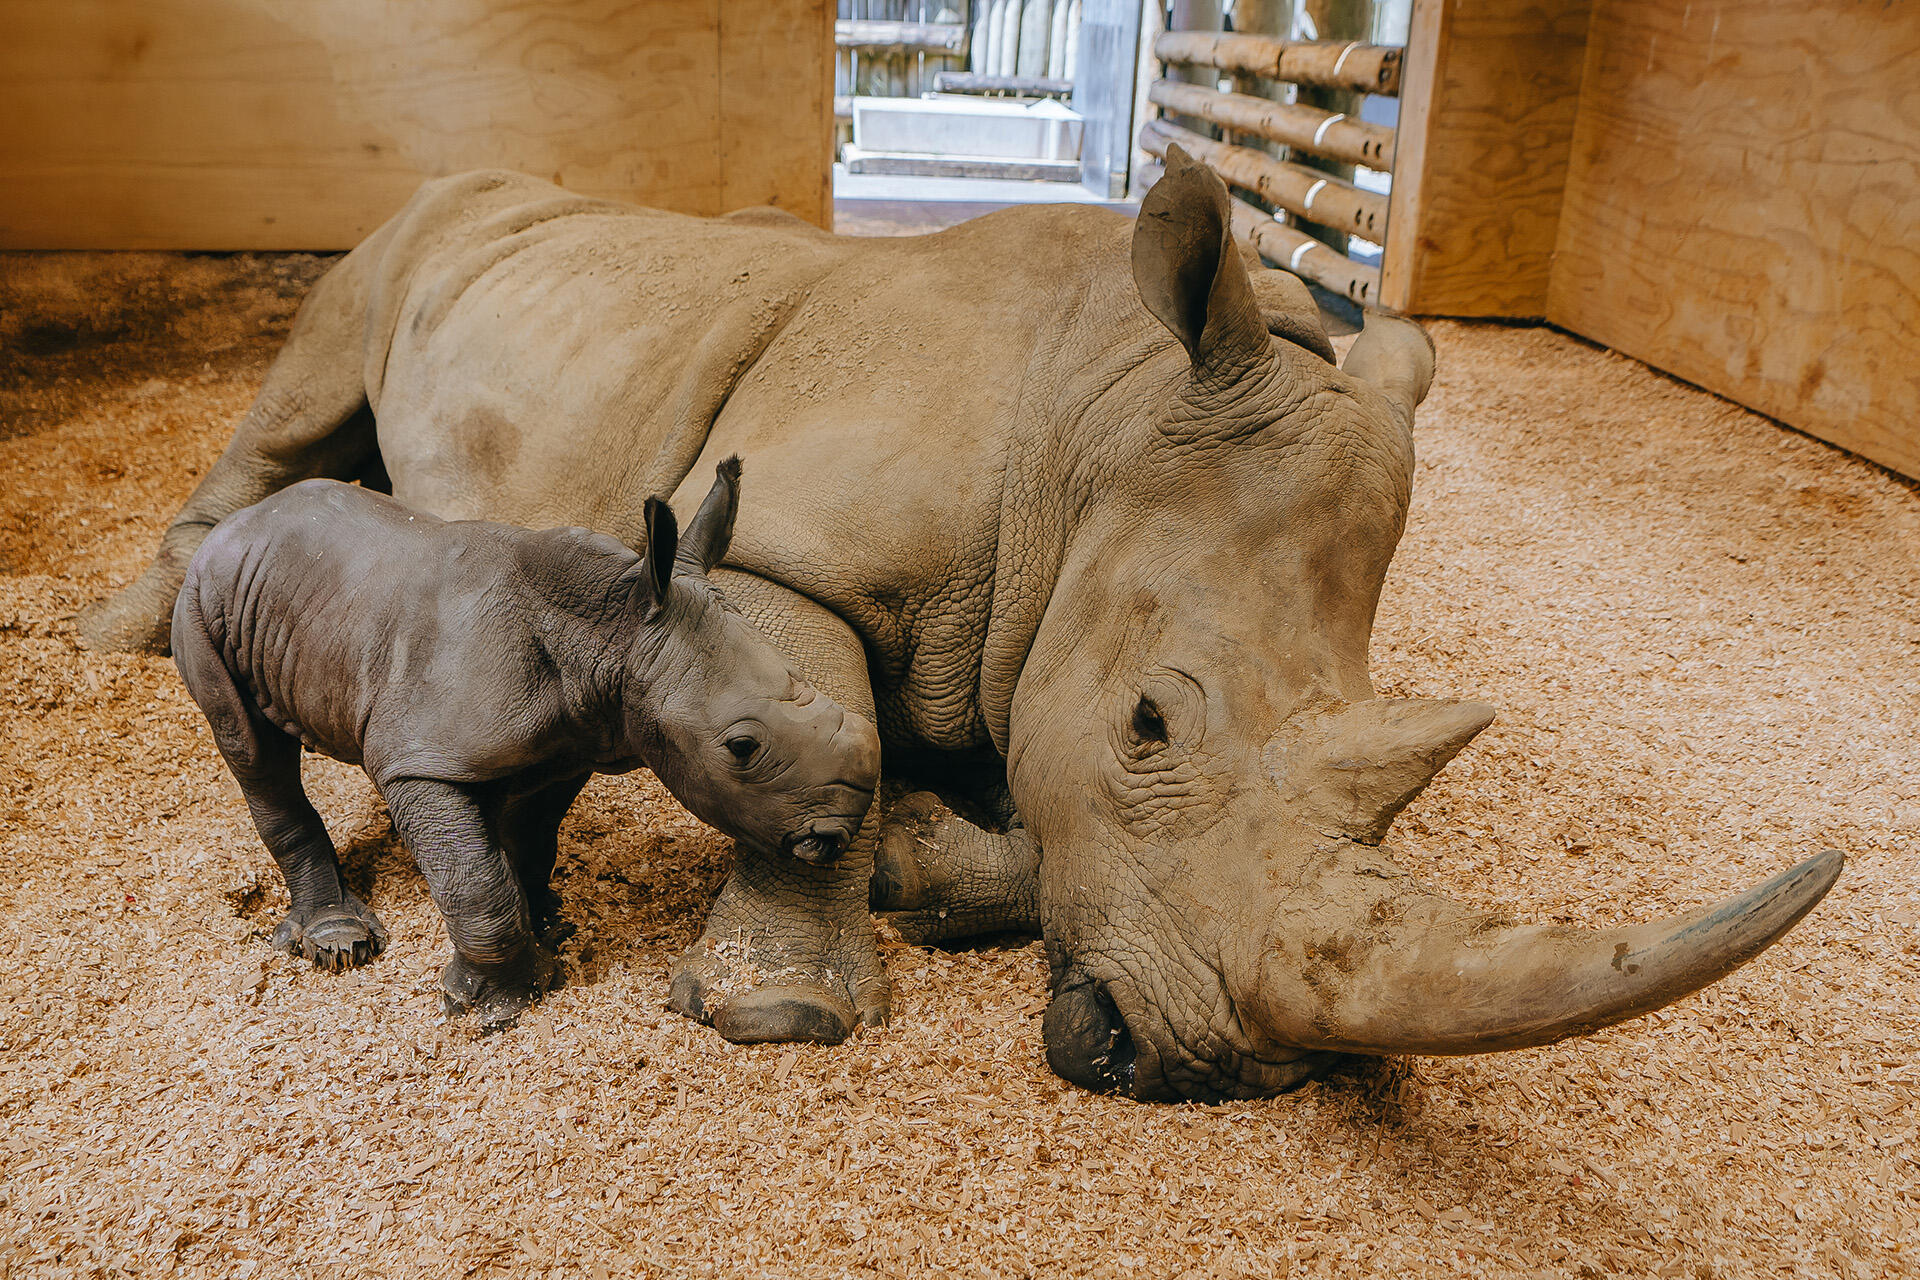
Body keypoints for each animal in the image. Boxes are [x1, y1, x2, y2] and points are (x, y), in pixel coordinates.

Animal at [172, 460, 879, 1028]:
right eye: (741, 747)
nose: (837, 832)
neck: (613, 629)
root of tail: (238, 522)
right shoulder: (422, 763)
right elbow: (476, 881)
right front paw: (489, 1006)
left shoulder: (568, 745)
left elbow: (529, 840)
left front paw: (548, 929)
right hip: (202, 600)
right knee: (253, 754)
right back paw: (341, 944)